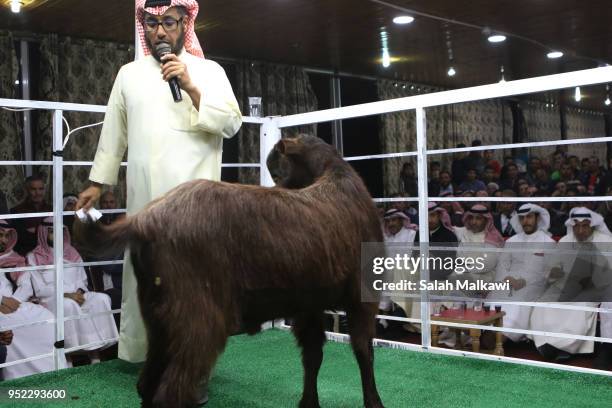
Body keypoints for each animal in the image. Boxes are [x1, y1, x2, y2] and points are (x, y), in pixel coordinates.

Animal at [74, 135, 384, 408]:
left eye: (278, 170)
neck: (333, 174)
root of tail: (144, 220)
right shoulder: (363, 297)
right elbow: (363, 351)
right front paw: (374, 402)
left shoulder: (310, 305)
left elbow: (313, 355)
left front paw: (309, 403)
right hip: (198, 316)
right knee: (170, 391)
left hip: (158, 317)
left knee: (147, 384)